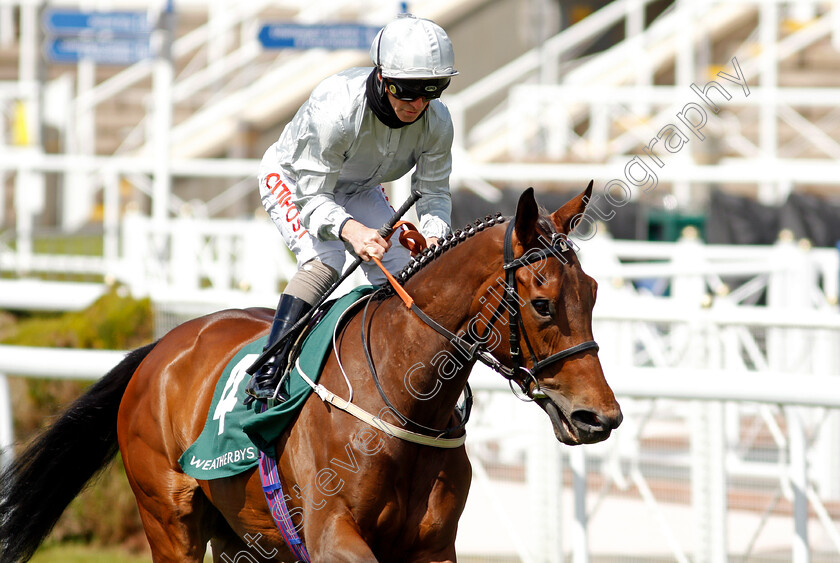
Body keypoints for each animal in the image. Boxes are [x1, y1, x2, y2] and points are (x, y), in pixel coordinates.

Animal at [1, 187, 624, 560]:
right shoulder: (331, 535)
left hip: (243, 533)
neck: (402, 398)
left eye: (593, 293)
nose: (601, 417)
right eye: (542, 304)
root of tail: (163, 346)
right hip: (169, 519)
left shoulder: (433, 544)